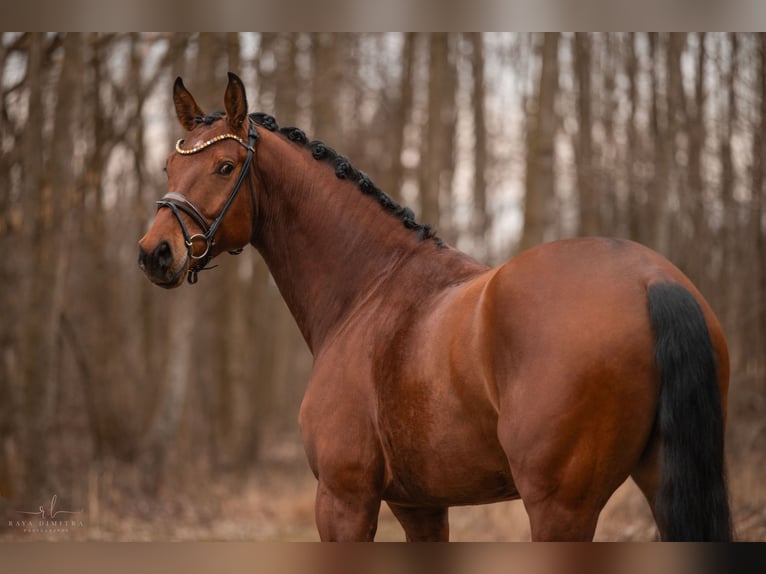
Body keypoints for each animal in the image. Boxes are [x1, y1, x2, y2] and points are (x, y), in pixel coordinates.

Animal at [136, 74, 732, 544]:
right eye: (167, 165)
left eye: (225, 166)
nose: (154, 252)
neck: (368, 289)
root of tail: (652, 280)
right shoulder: (420, 506)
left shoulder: (344, 501)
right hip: (661, 482)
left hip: (560, 508)